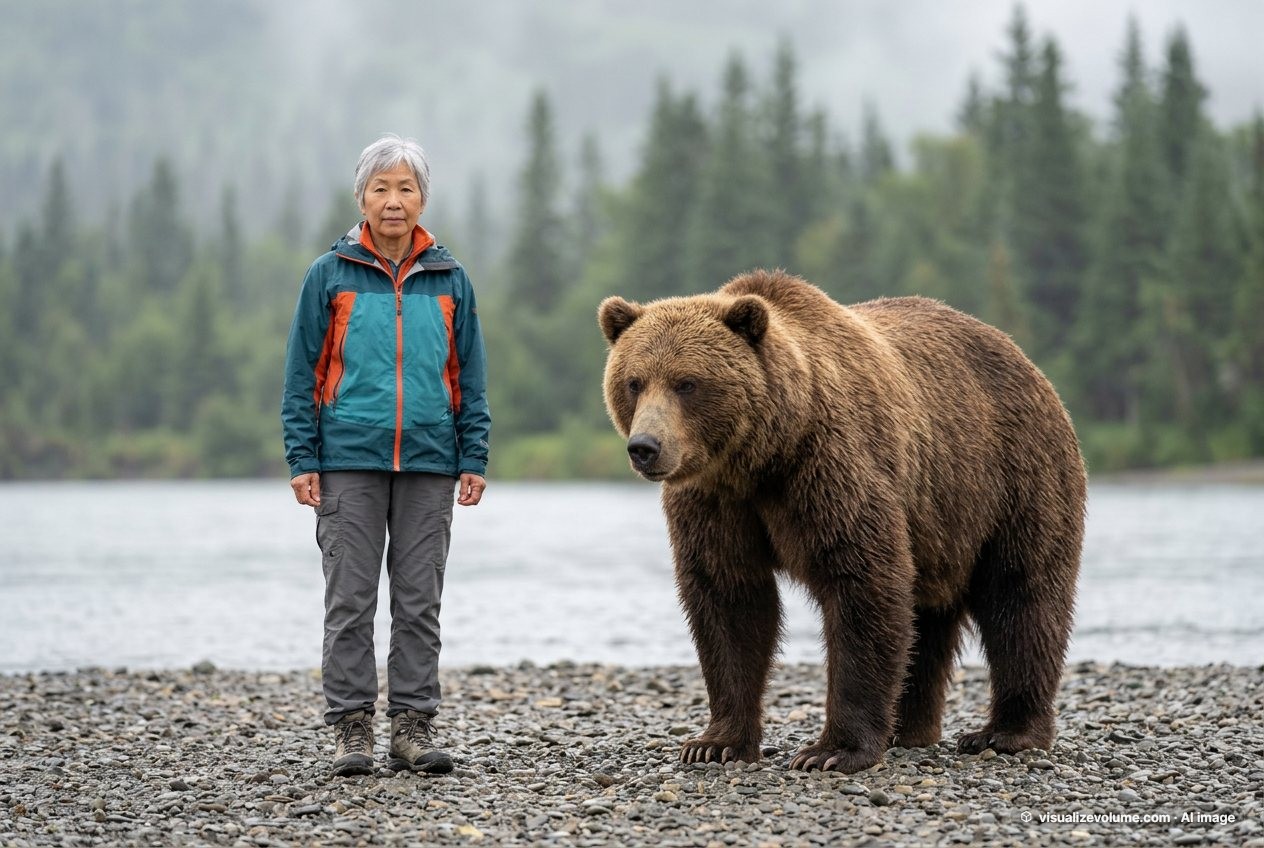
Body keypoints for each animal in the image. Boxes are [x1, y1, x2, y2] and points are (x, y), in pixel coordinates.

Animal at [597, 269, 1085, 773]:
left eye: (687, 382)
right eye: (634, 382)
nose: (646, 447)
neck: (762, 458)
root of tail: (1023, 357)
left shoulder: (830, 467)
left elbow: (862, 581)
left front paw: (832, 750)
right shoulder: (714, 502)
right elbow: (728, 597)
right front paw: (714, 742)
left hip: (1012, 476)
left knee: (1021, 595)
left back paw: (1005, 732)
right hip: (940, 522)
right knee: (927, 618)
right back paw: (908, 729)